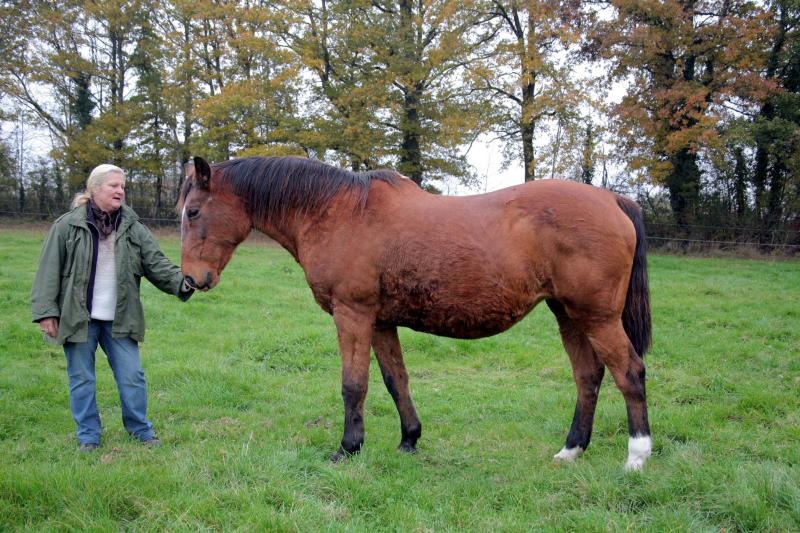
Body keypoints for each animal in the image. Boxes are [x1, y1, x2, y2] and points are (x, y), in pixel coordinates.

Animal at [178, 155, 653, 471]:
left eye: (194, 211)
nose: (190, 280)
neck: (338, 212)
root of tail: (614, 200)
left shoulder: (352, 315)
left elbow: (354, 385)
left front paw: (347, 448)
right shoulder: (381, 321)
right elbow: (395, 380)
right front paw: (409, 440)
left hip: (596, 317)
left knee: (629, 373)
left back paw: (636, 456)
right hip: (568, 313)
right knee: (588, 376)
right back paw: (571, 450)